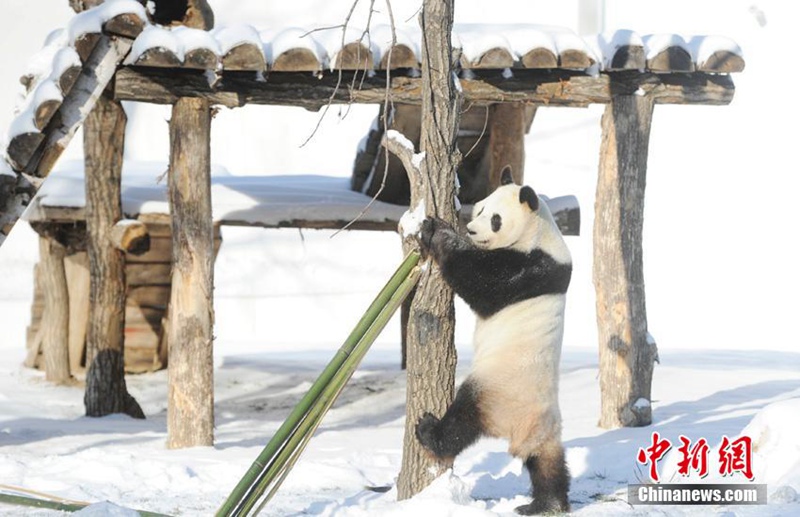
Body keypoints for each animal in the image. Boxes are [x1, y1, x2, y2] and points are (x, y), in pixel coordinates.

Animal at [415, 166, 572, 515]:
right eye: (480, 209)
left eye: (496, 219)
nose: (472, 230)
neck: (539, 232)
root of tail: (517, 429)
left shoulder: (529, 267)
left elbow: (480, 281)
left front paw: (435, 231)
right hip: (544, 424)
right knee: (546, 460)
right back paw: (547, 503)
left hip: (495, 388)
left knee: (462, 420)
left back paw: (430, 432)